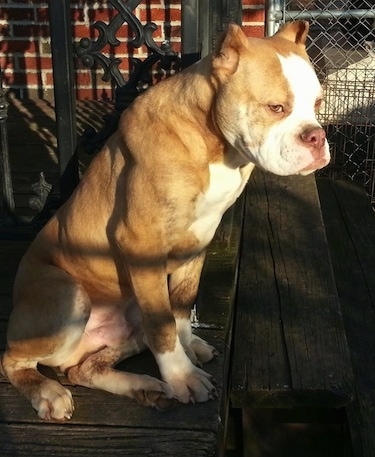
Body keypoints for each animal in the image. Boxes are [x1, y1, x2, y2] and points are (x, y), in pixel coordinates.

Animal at [0, 21, 330, 420]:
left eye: (318, 104)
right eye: (276, 107)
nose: (317, 137)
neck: (213, 142)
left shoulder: (199, 240)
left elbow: (182, 304)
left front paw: (188, 350)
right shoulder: (141, 244)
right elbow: (163, 322)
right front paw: (182, 377)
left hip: (125, 317)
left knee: (83, 368)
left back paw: (147, 388)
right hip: (66, 292)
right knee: (13, 359)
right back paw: (49, 392)